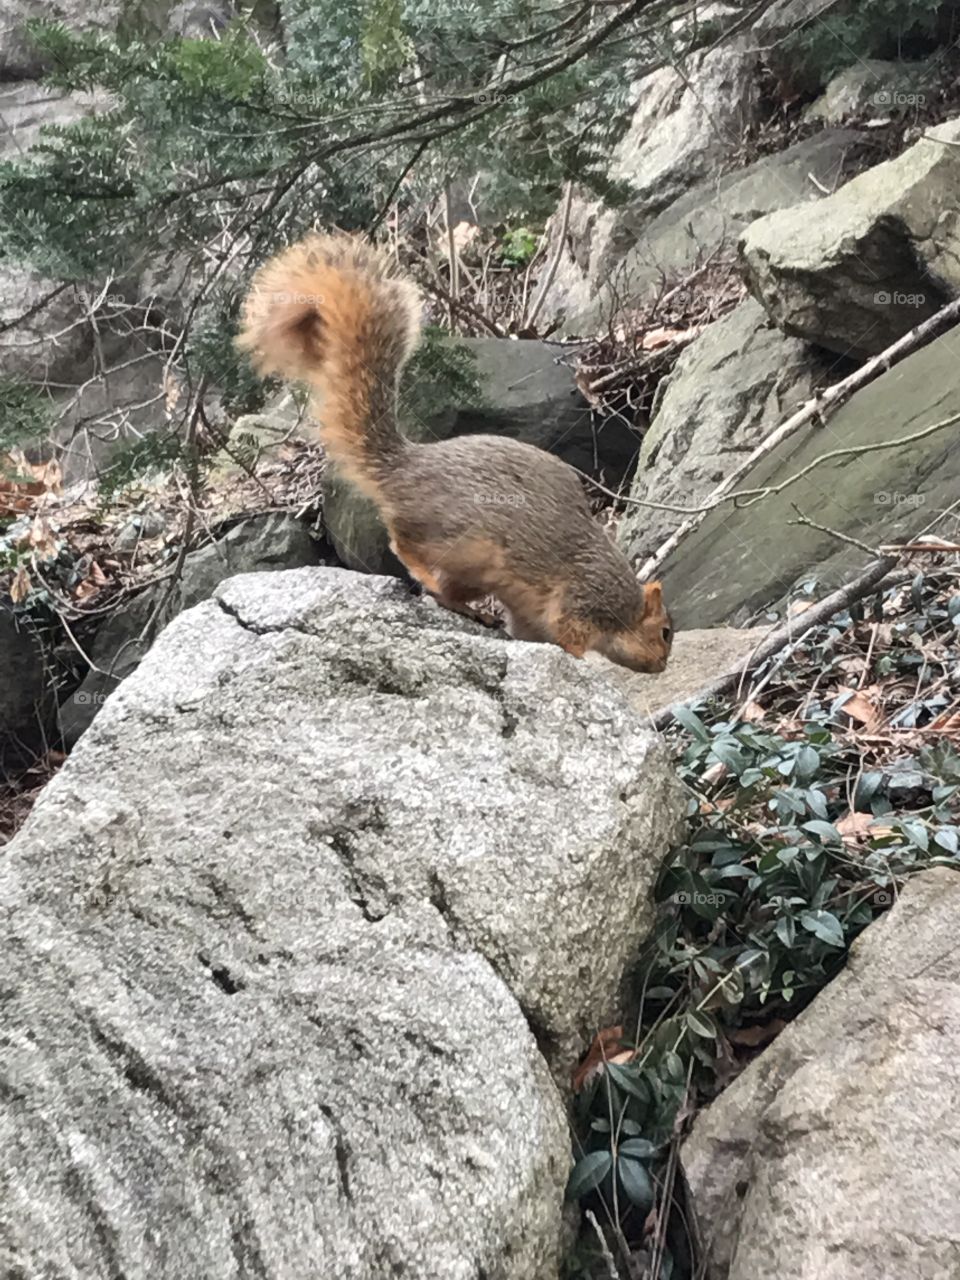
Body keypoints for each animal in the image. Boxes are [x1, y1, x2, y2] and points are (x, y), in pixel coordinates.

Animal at [236, 233, 673, 673]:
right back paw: (429, 579)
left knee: (444, 588)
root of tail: (404, 468)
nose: (662, 666)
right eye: (666, 632)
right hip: (460, 539)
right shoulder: (582, 598)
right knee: (405, 545)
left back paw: (472, 610)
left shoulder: (532, 618)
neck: (623, 603)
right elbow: (569, 633)